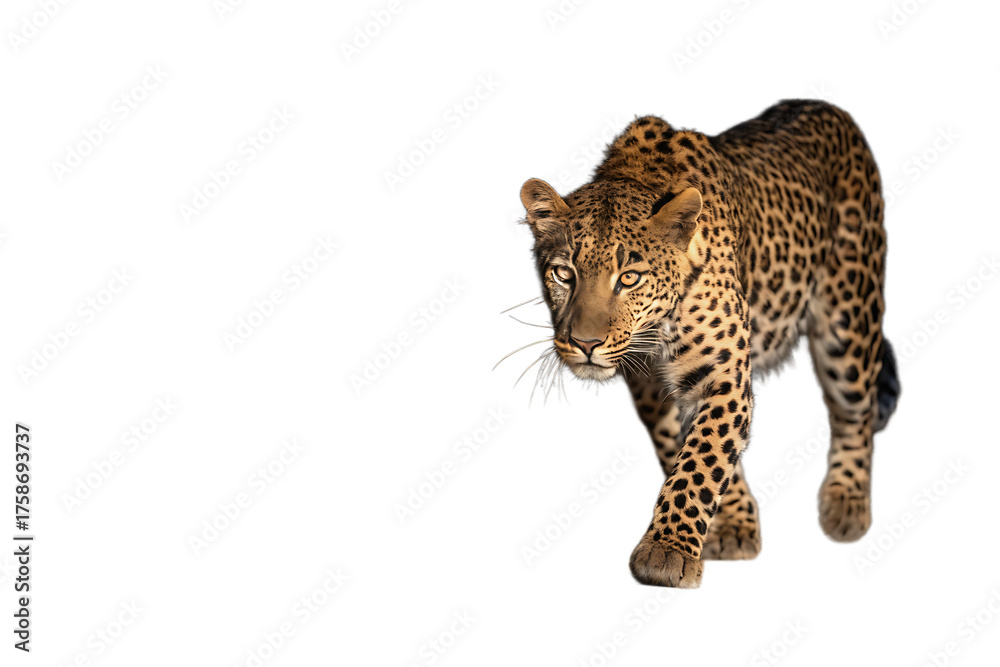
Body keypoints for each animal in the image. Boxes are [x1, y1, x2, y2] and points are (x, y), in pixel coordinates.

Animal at [517, 100, 900, 588]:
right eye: (564, 274)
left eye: (629, 278)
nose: (584, 343)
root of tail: (827, 107)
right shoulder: (651, 386)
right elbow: (691, 452)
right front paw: (732, 524)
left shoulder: (723, 374)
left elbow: (701, 456)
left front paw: (665, 552)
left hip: (849, 319)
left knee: (856, 411)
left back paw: (847, 503)